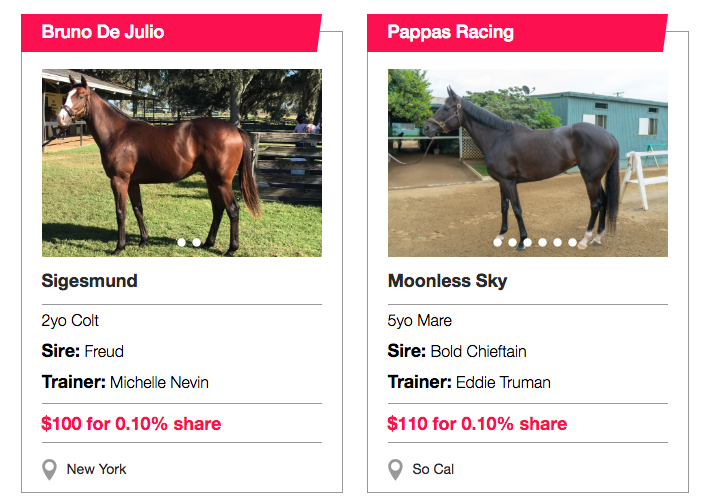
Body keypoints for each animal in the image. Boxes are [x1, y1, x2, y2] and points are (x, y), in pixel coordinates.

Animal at [57, 75, 261, 257]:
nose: (60, 119)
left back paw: (231, 249)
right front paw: (143, 240)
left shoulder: (119, 180)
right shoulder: (132, 182)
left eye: (80, 96)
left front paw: (119, 247)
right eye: (66, 95)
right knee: (217, 208)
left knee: (233, 209)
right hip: (211, 179)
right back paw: (207, 243)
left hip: (222, 182)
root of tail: (235, 129)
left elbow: (120, 212)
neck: (117, 133)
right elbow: (138, 209)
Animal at [423, 87, 620, 252]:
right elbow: (504, 207)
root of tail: (608, 135)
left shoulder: (509, 182)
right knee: (604, 201)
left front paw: (522, 241)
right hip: (595, 178)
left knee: (595, 205)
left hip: (590, 178)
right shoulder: (502, 182)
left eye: (446, 108)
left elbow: (517, 209)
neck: (498, 138)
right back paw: (598, 237)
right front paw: (501, 235)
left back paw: (584, 240)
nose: (426, 128)